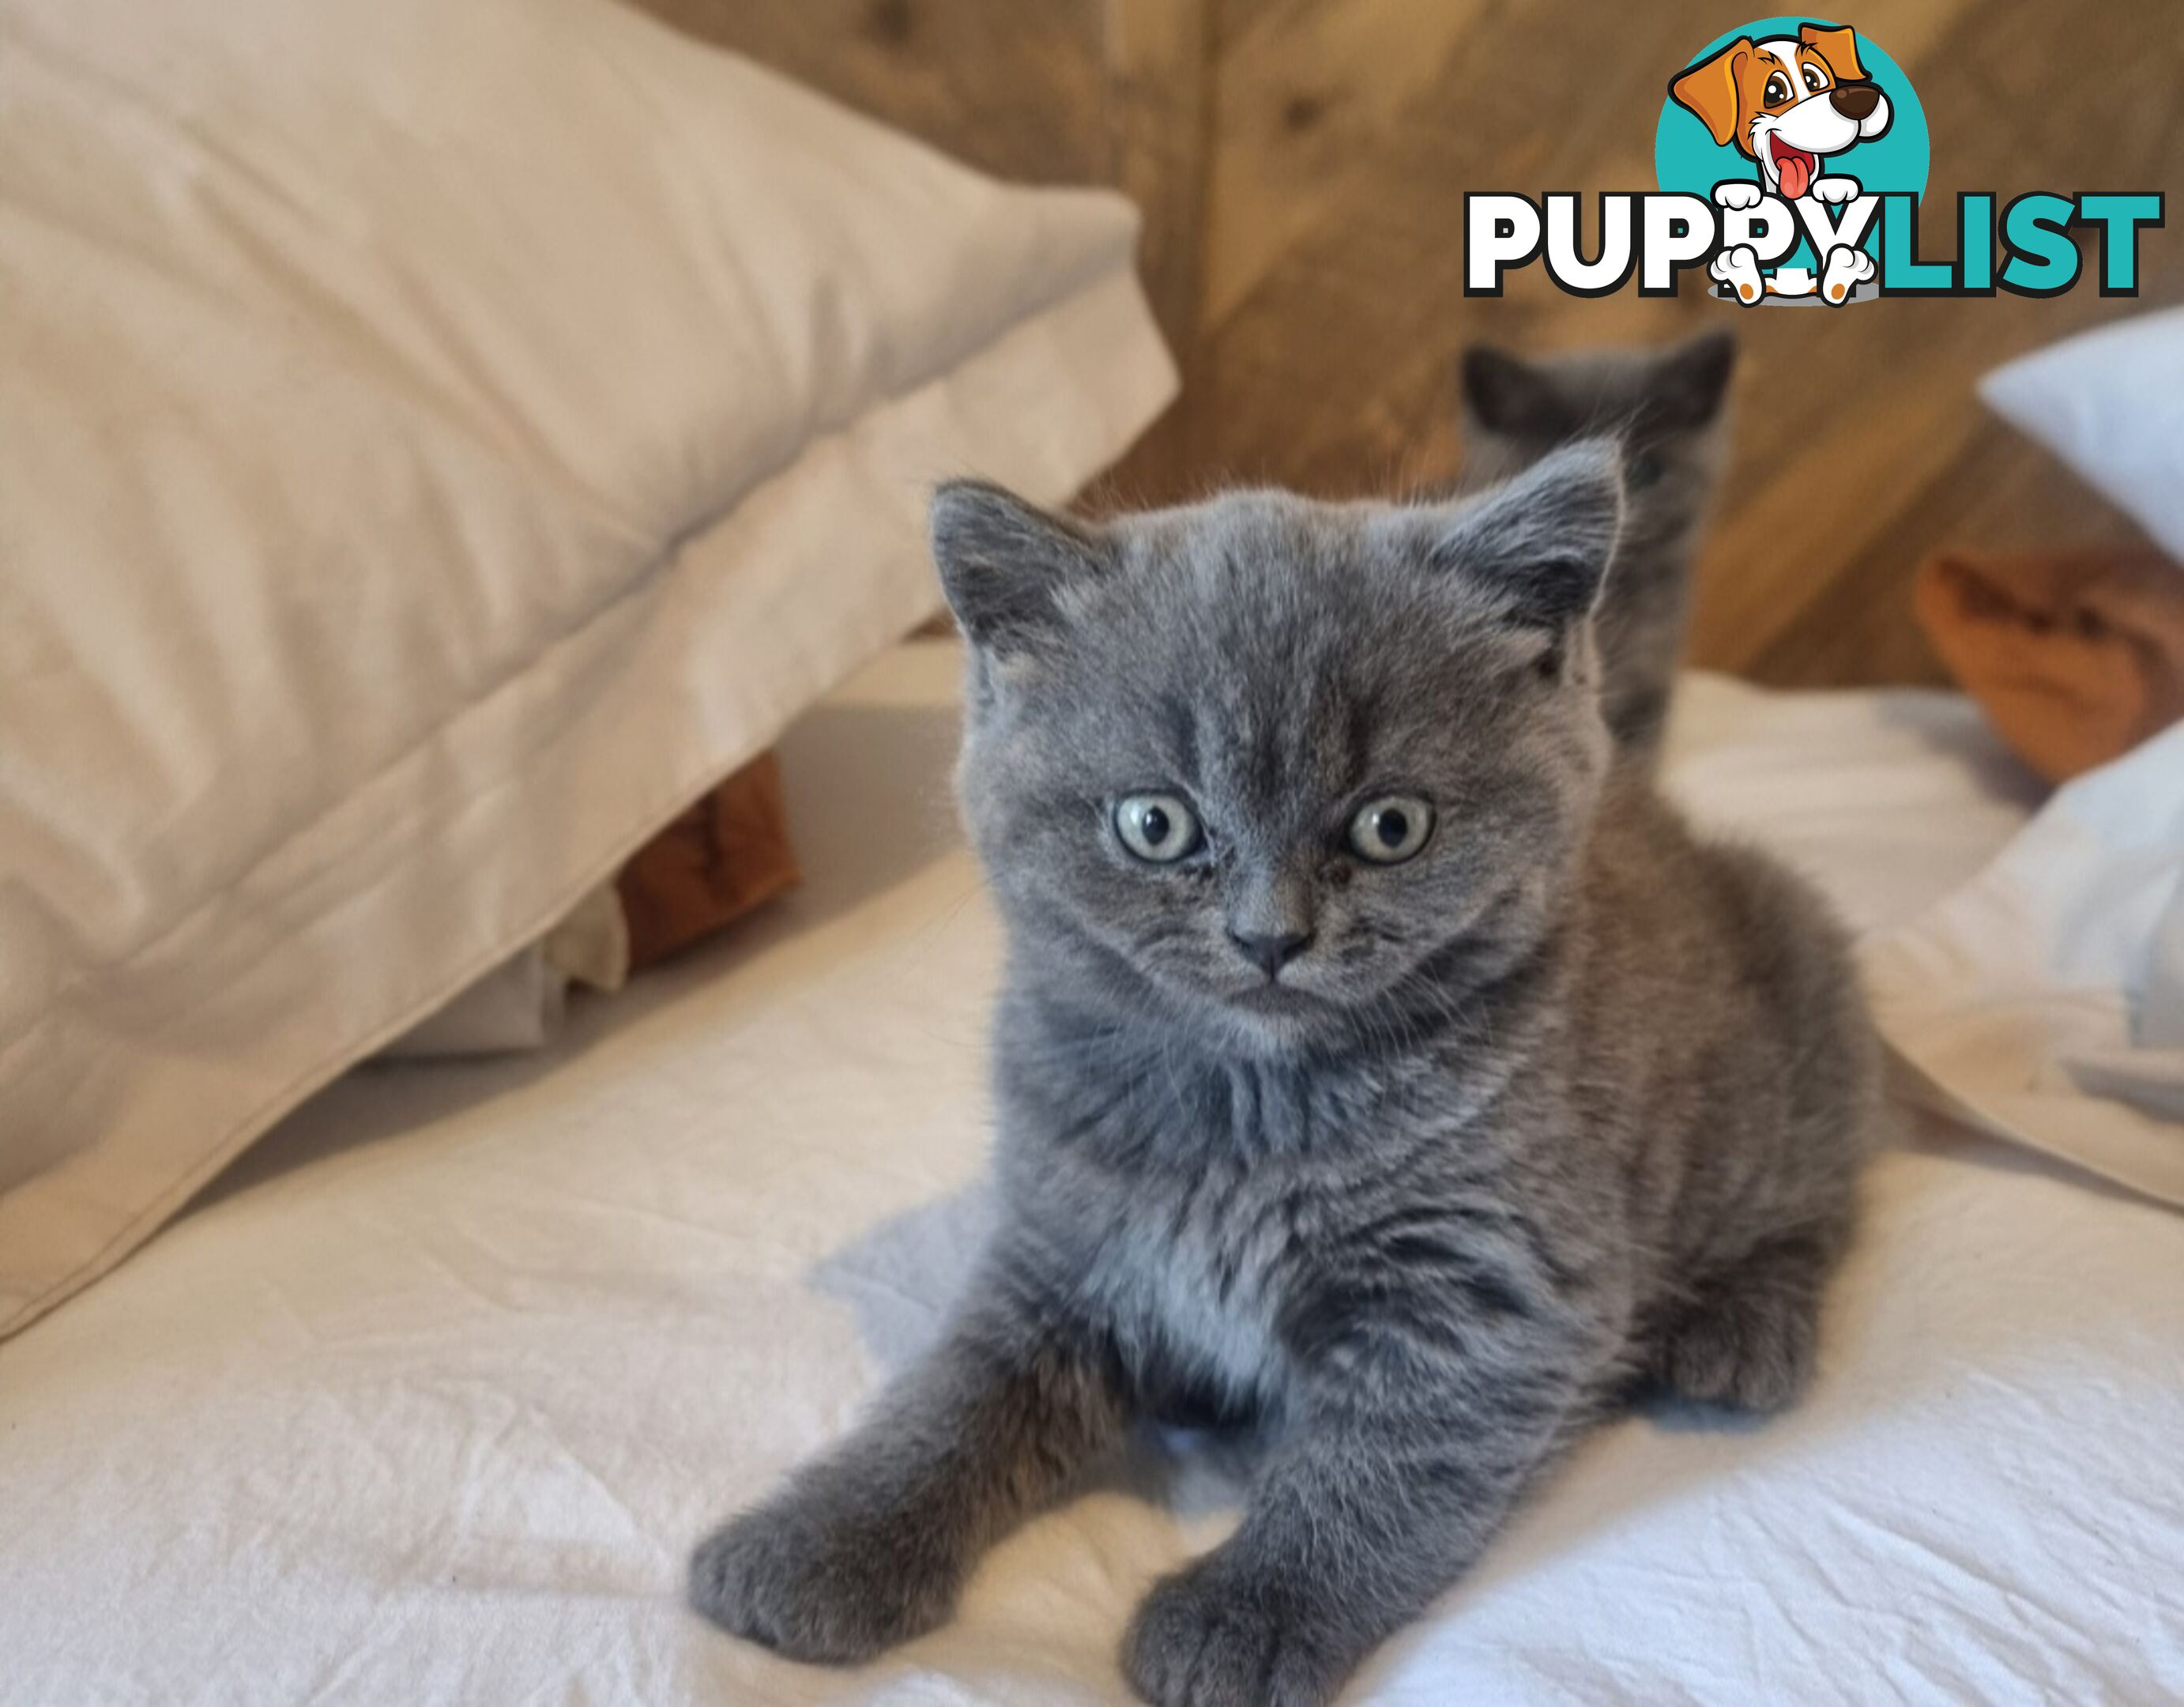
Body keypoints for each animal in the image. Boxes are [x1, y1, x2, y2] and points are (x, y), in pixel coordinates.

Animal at [694, 443, 1878, 1705]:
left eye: (1392, 826)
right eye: (1155, 823)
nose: (1269, 936)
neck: (1248, 1109)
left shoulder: (1494, 1294)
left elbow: (1371, 1474)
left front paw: (1241, 1620)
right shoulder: (1063, 1238)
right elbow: (955, 1395)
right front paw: (817, 1545)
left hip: (1797, 991)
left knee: (1820, 1191)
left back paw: (1740, 1332)